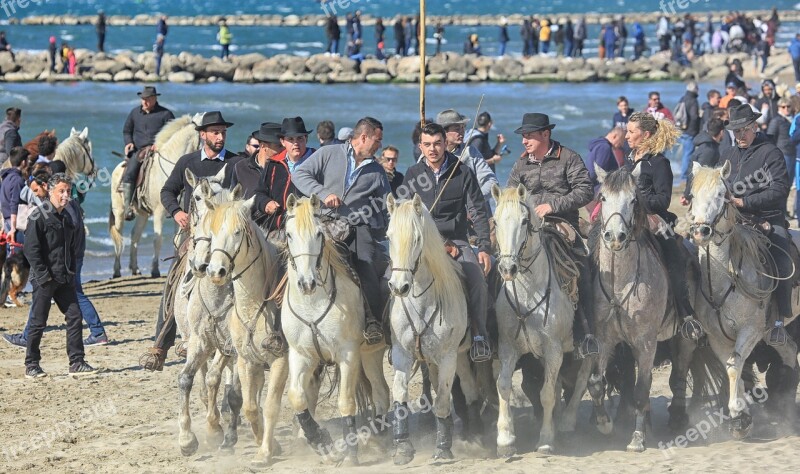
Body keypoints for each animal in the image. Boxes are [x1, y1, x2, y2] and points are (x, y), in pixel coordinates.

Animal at [109, 113, 203, 280]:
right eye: (203, 137)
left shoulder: (180, 213)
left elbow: (177, 240)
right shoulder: (159, 212)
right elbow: (157, 240)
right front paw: (155, 270)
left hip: (143, 214)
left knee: (135, 235)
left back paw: (135, 268)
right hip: (119, 211)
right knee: (119, 237)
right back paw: (116, 270)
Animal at [282, 194, 392, 464]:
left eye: (319, 234)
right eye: (289, 234)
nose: (307, 283)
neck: (312, 303)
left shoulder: (348, 355)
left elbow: (346, 402)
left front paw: (350, 453)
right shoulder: (301, 355)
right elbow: (297, 397)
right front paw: (321, 442)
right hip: (371, 354)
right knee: (381, 392)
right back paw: (378, 440)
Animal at [386, 194, 482, 464]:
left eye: (417, 238)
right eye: (388, 236)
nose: (399, 287)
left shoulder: (448, 356)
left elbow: (441, 400)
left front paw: (443, 448)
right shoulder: (402, 354)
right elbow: (400, 395)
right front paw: (403, 447)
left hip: (460, 356)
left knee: (469, 390)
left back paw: (475, 435)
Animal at [490, 183, 592, 454]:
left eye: (524, 221)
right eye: (495, 221)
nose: (507, 269)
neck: (528, 293)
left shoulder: (554, 349)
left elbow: (546, 394)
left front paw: (546, 439)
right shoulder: (508, 347)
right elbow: (503, 385)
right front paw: (505, 439)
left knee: (582, 379)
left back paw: (567, 423)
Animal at [684, 163, 796, 436]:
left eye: (721, 195)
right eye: (692, 195)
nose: (700, 231)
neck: (724, 284)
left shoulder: (751, 330)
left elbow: (736, 365)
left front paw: (737, 411)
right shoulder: (717, 337)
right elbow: (731, 365)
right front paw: (741, 416)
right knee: (789, 352)